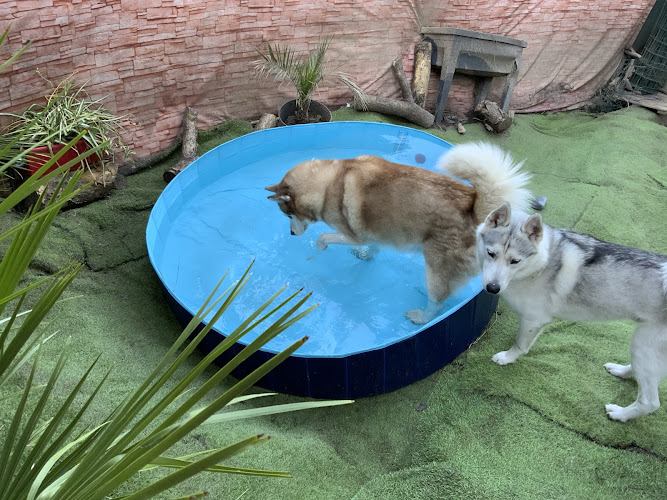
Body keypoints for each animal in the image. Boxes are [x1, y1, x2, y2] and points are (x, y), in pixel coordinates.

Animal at [265, 142, 531, 324]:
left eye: (288, 216)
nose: (291, 234)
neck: (328, 185)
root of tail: (475, 207)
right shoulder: (374, 233)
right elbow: (373, 246)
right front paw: (365, 255)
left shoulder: (351, 233)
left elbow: (324, 237)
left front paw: (321, 246)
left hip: (436, 268)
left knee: (438, 301)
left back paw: (421, 316)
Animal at [477, 202, 667, 421]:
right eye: (491, 253)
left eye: (515, 261)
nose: (492, 288)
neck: (542, 263)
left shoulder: (534, 320)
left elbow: (520, 344)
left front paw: (508, 358)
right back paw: (622, 371)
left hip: (644, 346)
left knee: (650, 402)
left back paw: (621, 414)